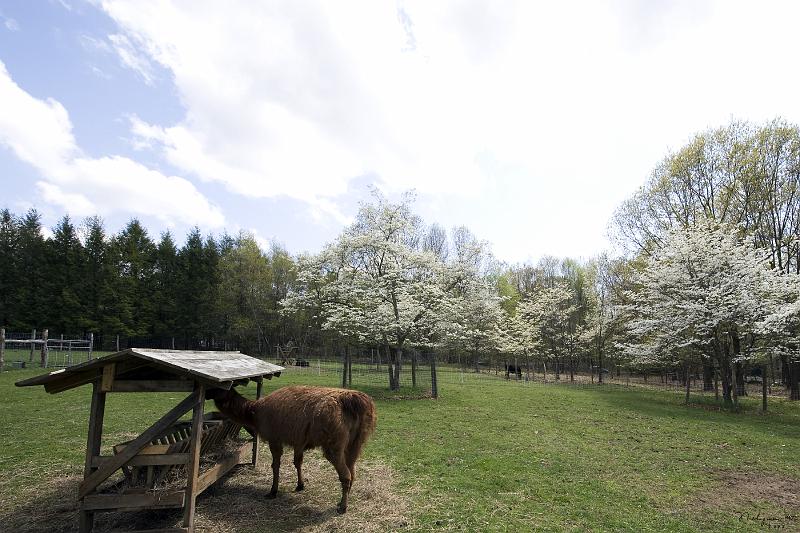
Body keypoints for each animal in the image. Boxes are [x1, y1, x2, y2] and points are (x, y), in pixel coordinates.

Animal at [209, 384, 378, 512]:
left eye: (219, 389)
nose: (208, 394)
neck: (254, 411)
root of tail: (352, 400)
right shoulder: (299, 440)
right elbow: (297, 462)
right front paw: (300, 485)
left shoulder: (275, 438)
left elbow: (275, 465)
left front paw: (273, 491)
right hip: (355, 443)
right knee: (352, 472)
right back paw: (342, 501)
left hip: (334, 443)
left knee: (346, 475)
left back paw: (342, 507)